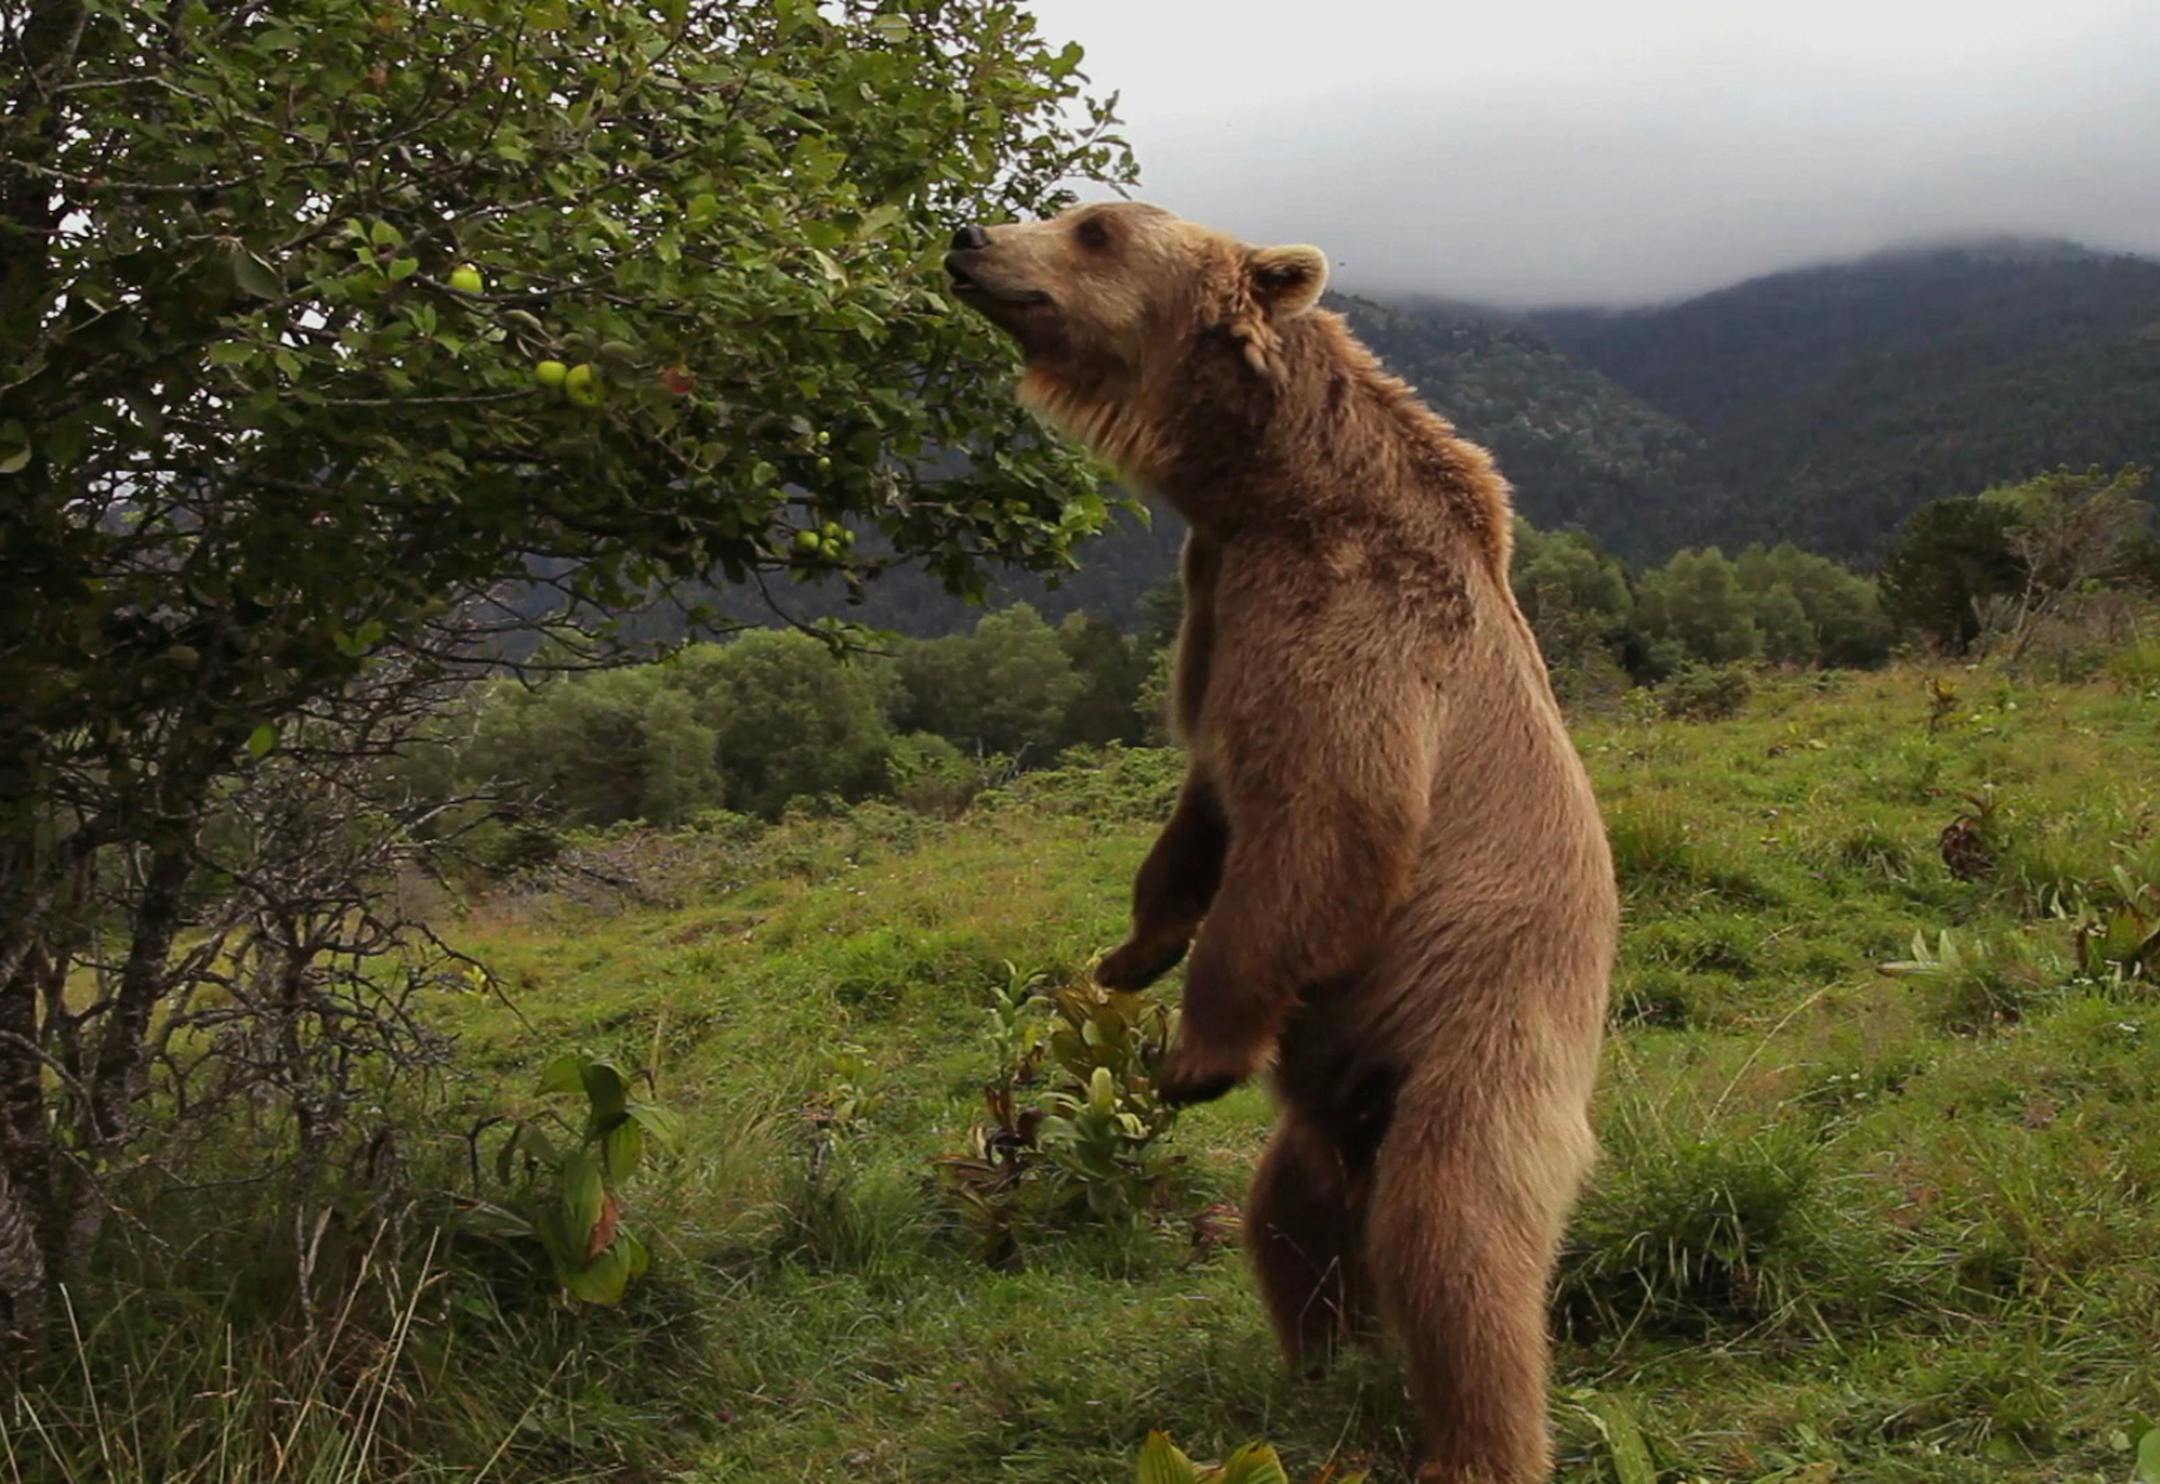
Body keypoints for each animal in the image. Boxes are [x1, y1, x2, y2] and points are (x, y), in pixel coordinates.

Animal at [946, 202, 1617, 1484]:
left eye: (1093, 225)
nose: (968, 239)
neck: (1267, 489)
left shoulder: (1354, 624)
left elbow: (1327, 821)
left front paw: (1192, 1051)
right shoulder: (1217, 605)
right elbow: (1206, 799)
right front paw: (1127, 954)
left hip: (1485, 1025)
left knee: (1452, 1231)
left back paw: (1473, 1441)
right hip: (1336, 1098)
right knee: (1290, 1214)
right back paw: (1320, 1359)